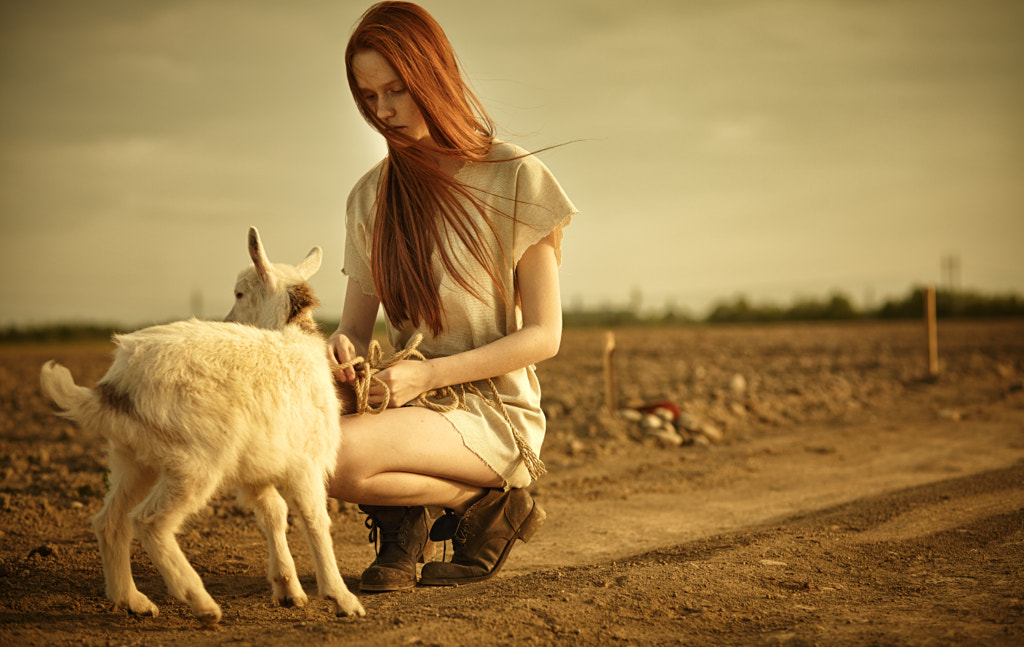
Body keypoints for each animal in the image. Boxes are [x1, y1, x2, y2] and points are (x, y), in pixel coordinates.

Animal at [38, 226, 364, 622]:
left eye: (239, 293)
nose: (227, 319)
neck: (291, 339)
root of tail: (115, 386)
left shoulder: (258, 468)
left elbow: (274, 512)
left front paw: (289, 589)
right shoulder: (305, 462)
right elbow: (315, 520)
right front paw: (342, 599)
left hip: (134, 457)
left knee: (111, 520)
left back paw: (133, 600)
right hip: (196, 459)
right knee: (148, 521)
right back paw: (201, 602)